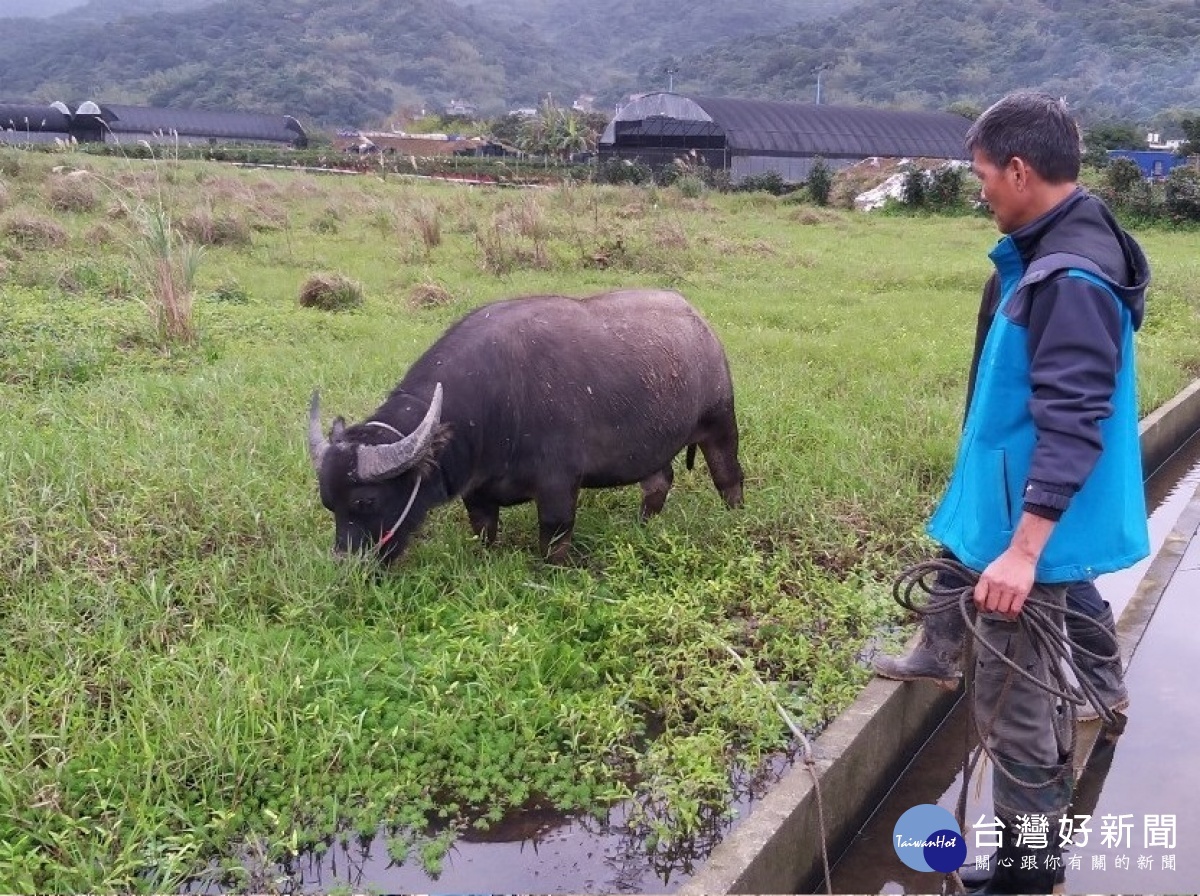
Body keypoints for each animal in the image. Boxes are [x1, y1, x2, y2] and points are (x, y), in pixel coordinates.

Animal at [304, 291, 744, 563]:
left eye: (365, 501)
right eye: (329, 503)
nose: (348, 565)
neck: (499, 401)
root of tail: (701, 326)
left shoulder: (558, 485)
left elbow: (553, 535)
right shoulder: (477, 490)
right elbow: (483, 528)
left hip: (720, 421)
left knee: (729, 477)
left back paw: (736, 518)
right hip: (651, 446)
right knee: (658, 482)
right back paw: (642, 525)